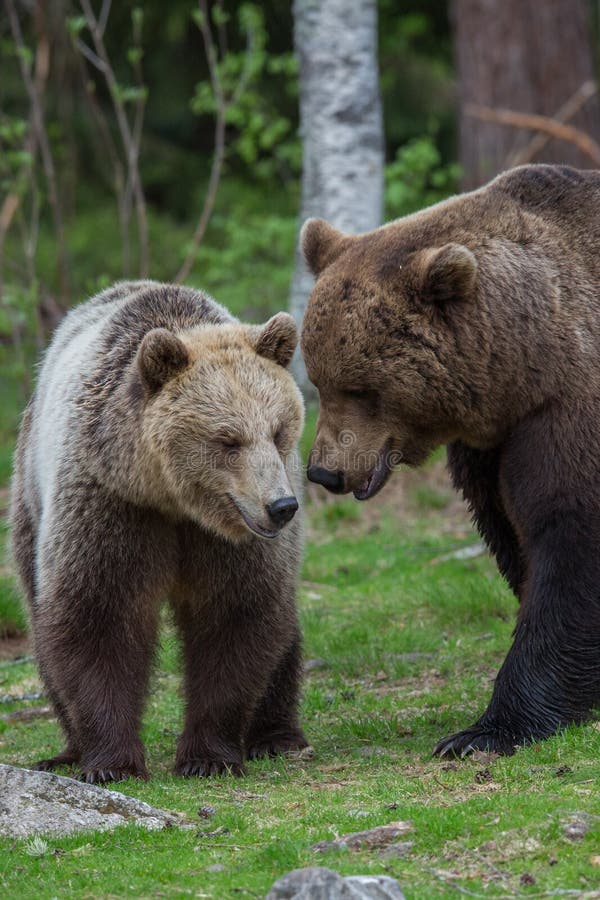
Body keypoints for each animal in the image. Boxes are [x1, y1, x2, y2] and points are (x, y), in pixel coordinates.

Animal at [10, 280, 310, 780]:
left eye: (278, 430)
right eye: (228, 440)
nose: (281, 507)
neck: (173, 499)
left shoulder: (227, 542)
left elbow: (236, 615)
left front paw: (208, 757)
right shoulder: (112, 503)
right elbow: (97, 615)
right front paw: (112, 763)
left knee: (283, 625)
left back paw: (278, 736)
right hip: (30, 498)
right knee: (40, 619)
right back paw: (68, 750)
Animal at [302, 165, 600, 756]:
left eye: (362, 388)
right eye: (318, 379)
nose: (325, 471)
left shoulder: (566, 408)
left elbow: (570, 534)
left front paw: (485, 731)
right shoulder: (493, 446)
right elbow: (514, 535)